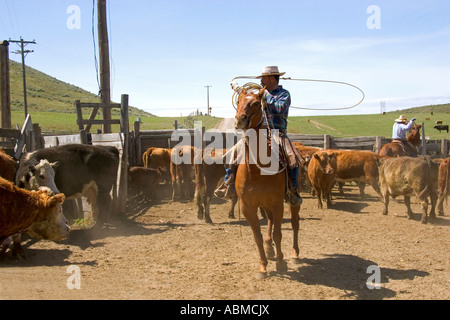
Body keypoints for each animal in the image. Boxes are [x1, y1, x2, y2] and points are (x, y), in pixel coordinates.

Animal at [234, 88, 300, 280]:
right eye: (239, 100)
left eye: (256, 103)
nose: (240, 119)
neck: (257, 170)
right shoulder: (248, 207)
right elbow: (257, 236)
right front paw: (263, 267)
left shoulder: (278, 204)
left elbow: (279, 234)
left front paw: (281, 263)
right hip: (265, 205)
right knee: (270, 221)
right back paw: (270, 250)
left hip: (292, 201)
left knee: (295, 224)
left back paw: (294, 254)